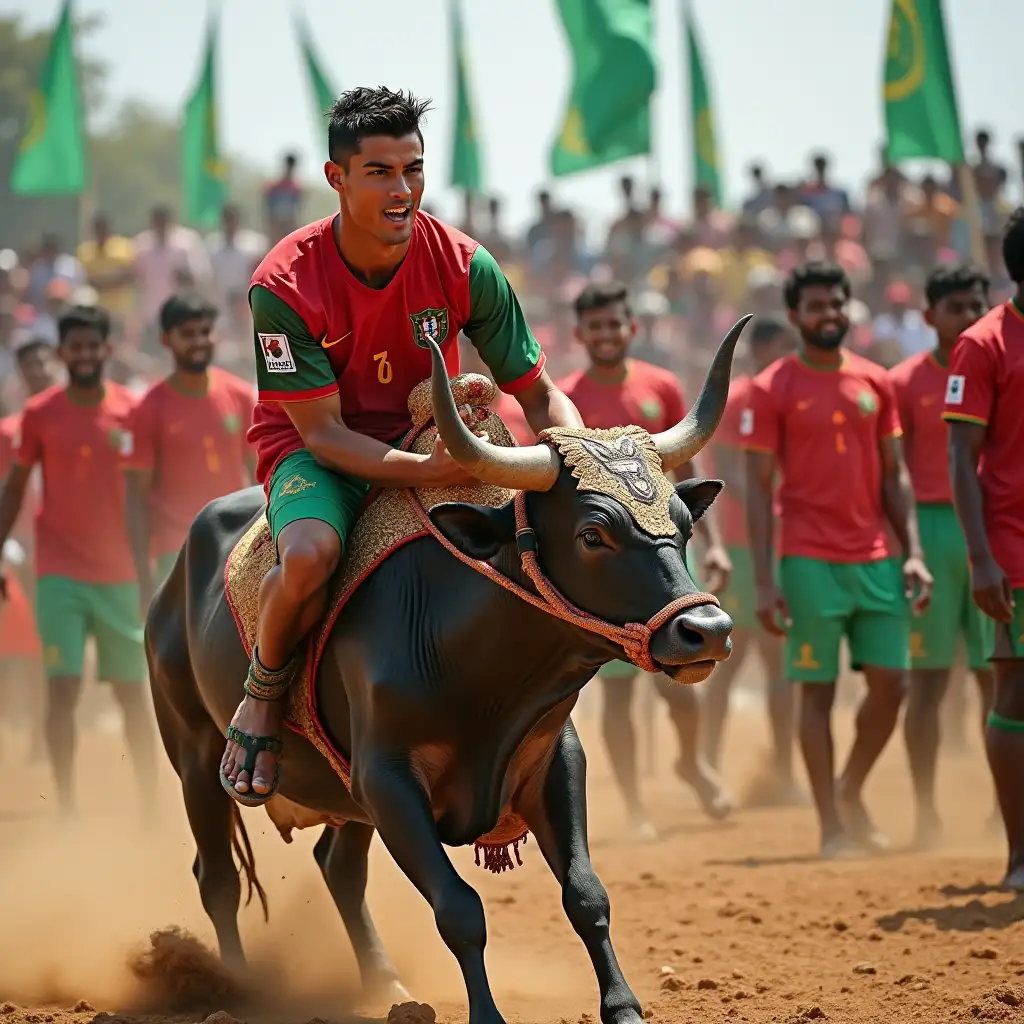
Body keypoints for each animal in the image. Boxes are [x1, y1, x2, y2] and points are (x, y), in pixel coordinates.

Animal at [148, 315, 749, 1019]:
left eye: (682, 525)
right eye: (592, 533)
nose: (706, 631)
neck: (471, 663)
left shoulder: (552, 761)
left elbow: (586, 894)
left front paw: (623, 1006)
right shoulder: (387, 782)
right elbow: (460, 910)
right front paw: (488, 1015)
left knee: (337, 868)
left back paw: (385, 984)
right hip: (193, 750)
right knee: (216, 875)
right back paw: (237, 987)